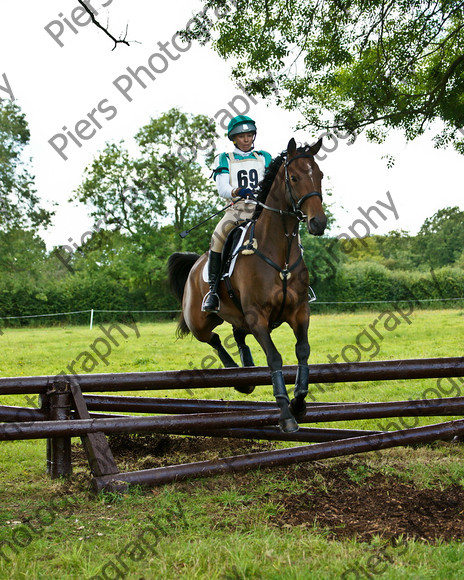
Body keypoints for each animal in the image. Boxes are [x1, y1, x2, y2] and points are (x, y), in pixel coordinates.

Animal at [168, 138, 326, 432]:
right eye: (294, 177)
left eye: (319, 176)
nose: (318, 223)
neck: (279, 251)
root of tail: (196, 263)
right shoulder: (257, 316)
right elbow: (274, 357)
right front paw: (286, 415)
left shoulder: (300, 312)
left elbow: (303, 351)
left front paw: (299, 403)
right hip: (200, 322)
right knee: (214, 339)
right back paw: (237, 375)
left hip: (237, 316)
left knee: (237, 335)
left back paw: (246, 368)